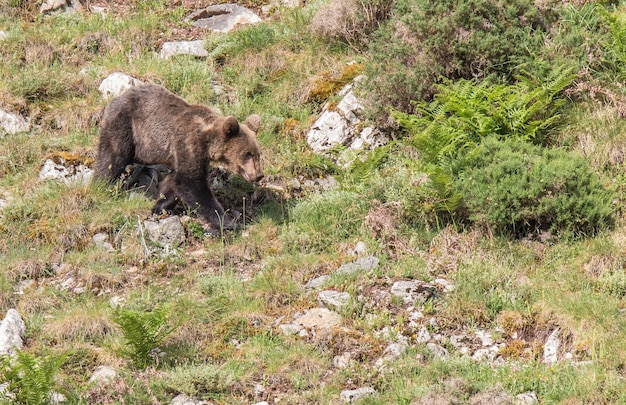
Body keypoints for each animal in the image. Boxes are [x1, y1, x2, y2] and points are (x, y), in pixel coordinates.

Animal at [92, 82, 260, 229]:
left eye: (257, 154)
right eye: (247, 154)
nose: (259, 175)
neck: (207, 141)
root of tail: (115, 98)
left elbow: (174, 182)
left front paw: (160, 205)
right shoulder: (188, 144)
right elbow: (192, 184)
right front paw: (228, 222)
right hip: (125, 125)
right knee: (113, 157)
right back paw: (101, 184)